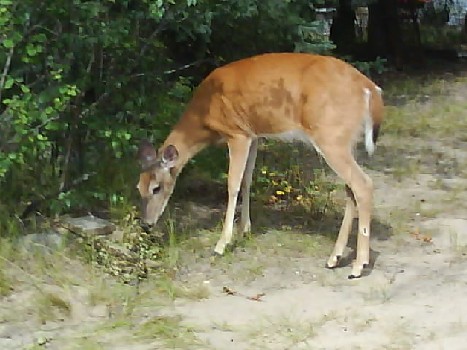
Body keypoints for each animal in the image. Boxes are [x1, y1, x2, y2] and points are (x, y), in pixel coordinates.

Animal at [136, 52, 384, 278]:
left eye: (156, 188)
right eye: (138, 187)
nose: (146, 224)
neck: (204, 114)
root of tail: (370, 89)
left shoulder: (237, 133)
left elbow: (232, 184)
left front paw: (222, 244)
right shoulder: (254, 135)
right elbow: (247, 179)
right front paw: (245, 229)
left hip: (331, 136)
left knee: (363, 184)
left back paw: (358, 266)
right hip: (347, 141)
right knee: (351, 189)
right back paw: (335, 258)